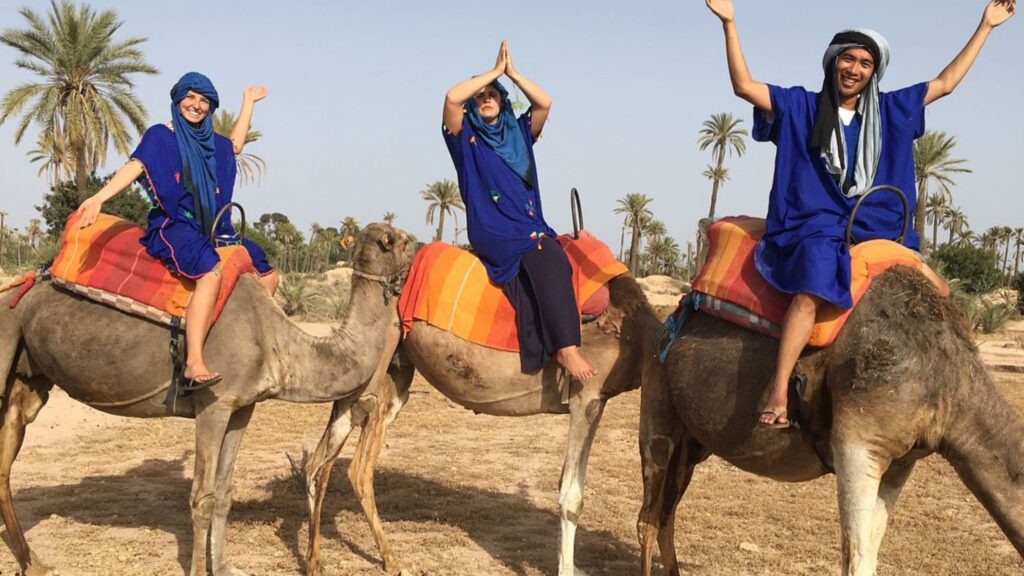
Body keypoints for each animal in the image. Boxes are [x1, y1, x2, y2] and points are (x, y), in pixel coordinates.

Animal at [0, 220, 409, 573]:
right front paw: (200, 569)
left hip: (29, 380)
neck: (274, 340)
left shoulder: (242, 408)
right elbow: (202, 497)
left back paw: (34, 563)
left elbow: (224, 493)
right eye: (404, 241)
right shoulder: (214, 403)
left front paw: (225, 566)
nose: (415, 254)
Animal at [634, 266, 1024, 573]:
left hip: (694, 444)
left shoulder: (902, 460)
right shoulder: (859, 440)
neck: (945, 378)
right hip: (658, 397)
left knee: (667, 513)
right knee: (648, 515)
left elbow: (872, 549)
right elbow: (856, 554)